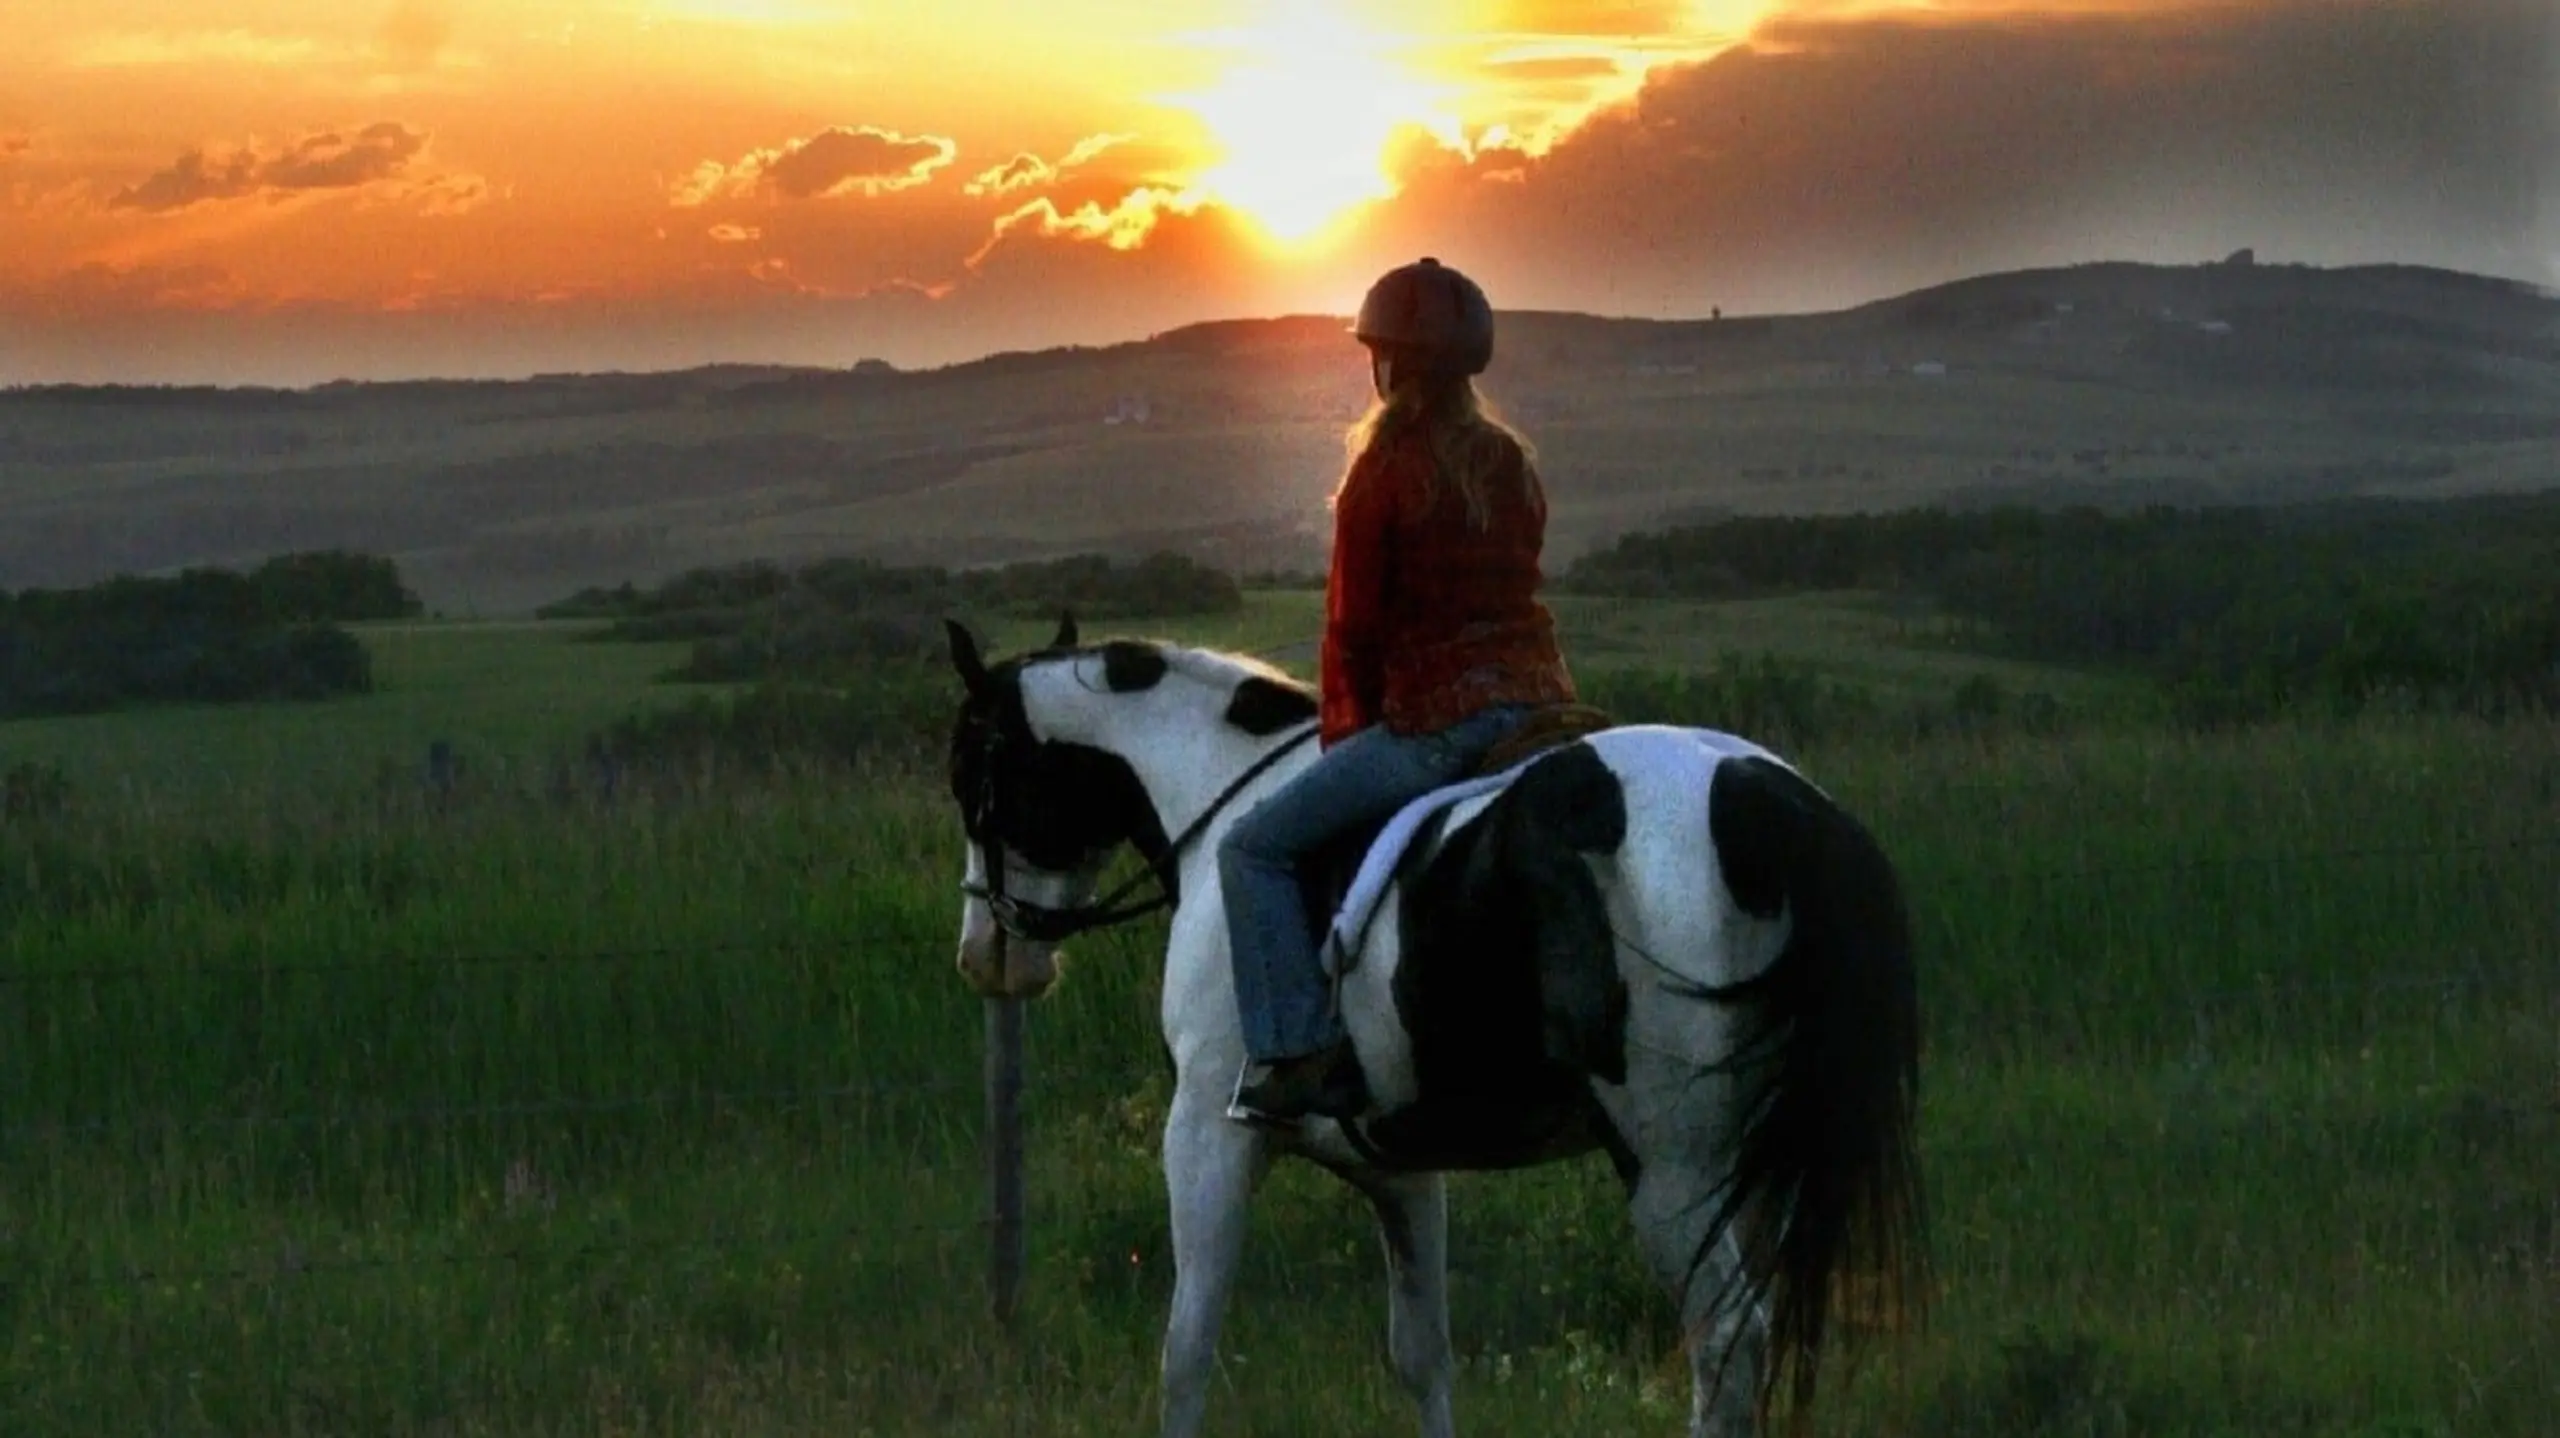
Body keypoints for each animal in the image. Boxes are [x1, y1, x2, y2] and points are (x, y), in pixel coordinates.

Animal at [942, 614, 1925, 1432]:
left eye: (971, 779)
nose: (986, 956)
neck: (1220, 800)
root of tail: (1770, 802)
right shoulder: (1401, 1168)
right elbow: (1422, 1357)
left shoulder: (1207, 1134)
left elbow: (1185, 1353)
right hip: (1759, 1162)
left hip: (1678, 1168)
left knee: (1726, 1345)